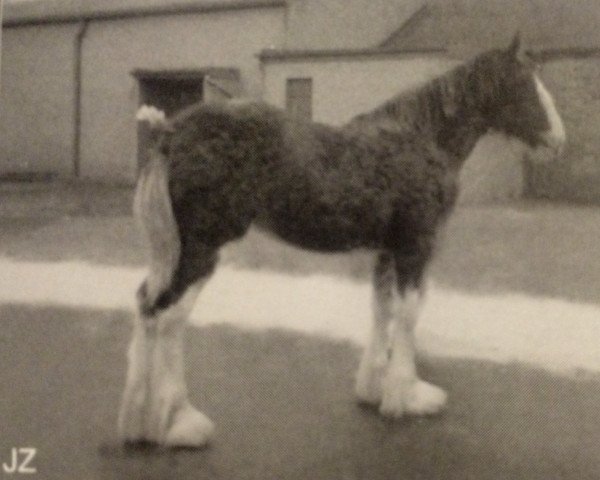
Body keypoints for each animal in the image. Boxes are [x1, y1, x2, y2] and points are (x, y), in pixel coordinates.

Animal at [119, 35, 564, 448]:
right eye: (523, 82)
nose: (558, 140)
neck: (421, 138)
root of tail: (171, 131)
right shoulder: (414, 248)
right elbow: (408, 314)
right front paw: (409, 397)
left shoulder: (386, 252)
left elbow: (382, 310)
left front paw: (375, 390)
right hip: (201, 251)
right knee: (170, 318)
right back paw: (180, 424)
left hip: (171, 253)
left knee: (146, 306)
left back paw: (139, 425)